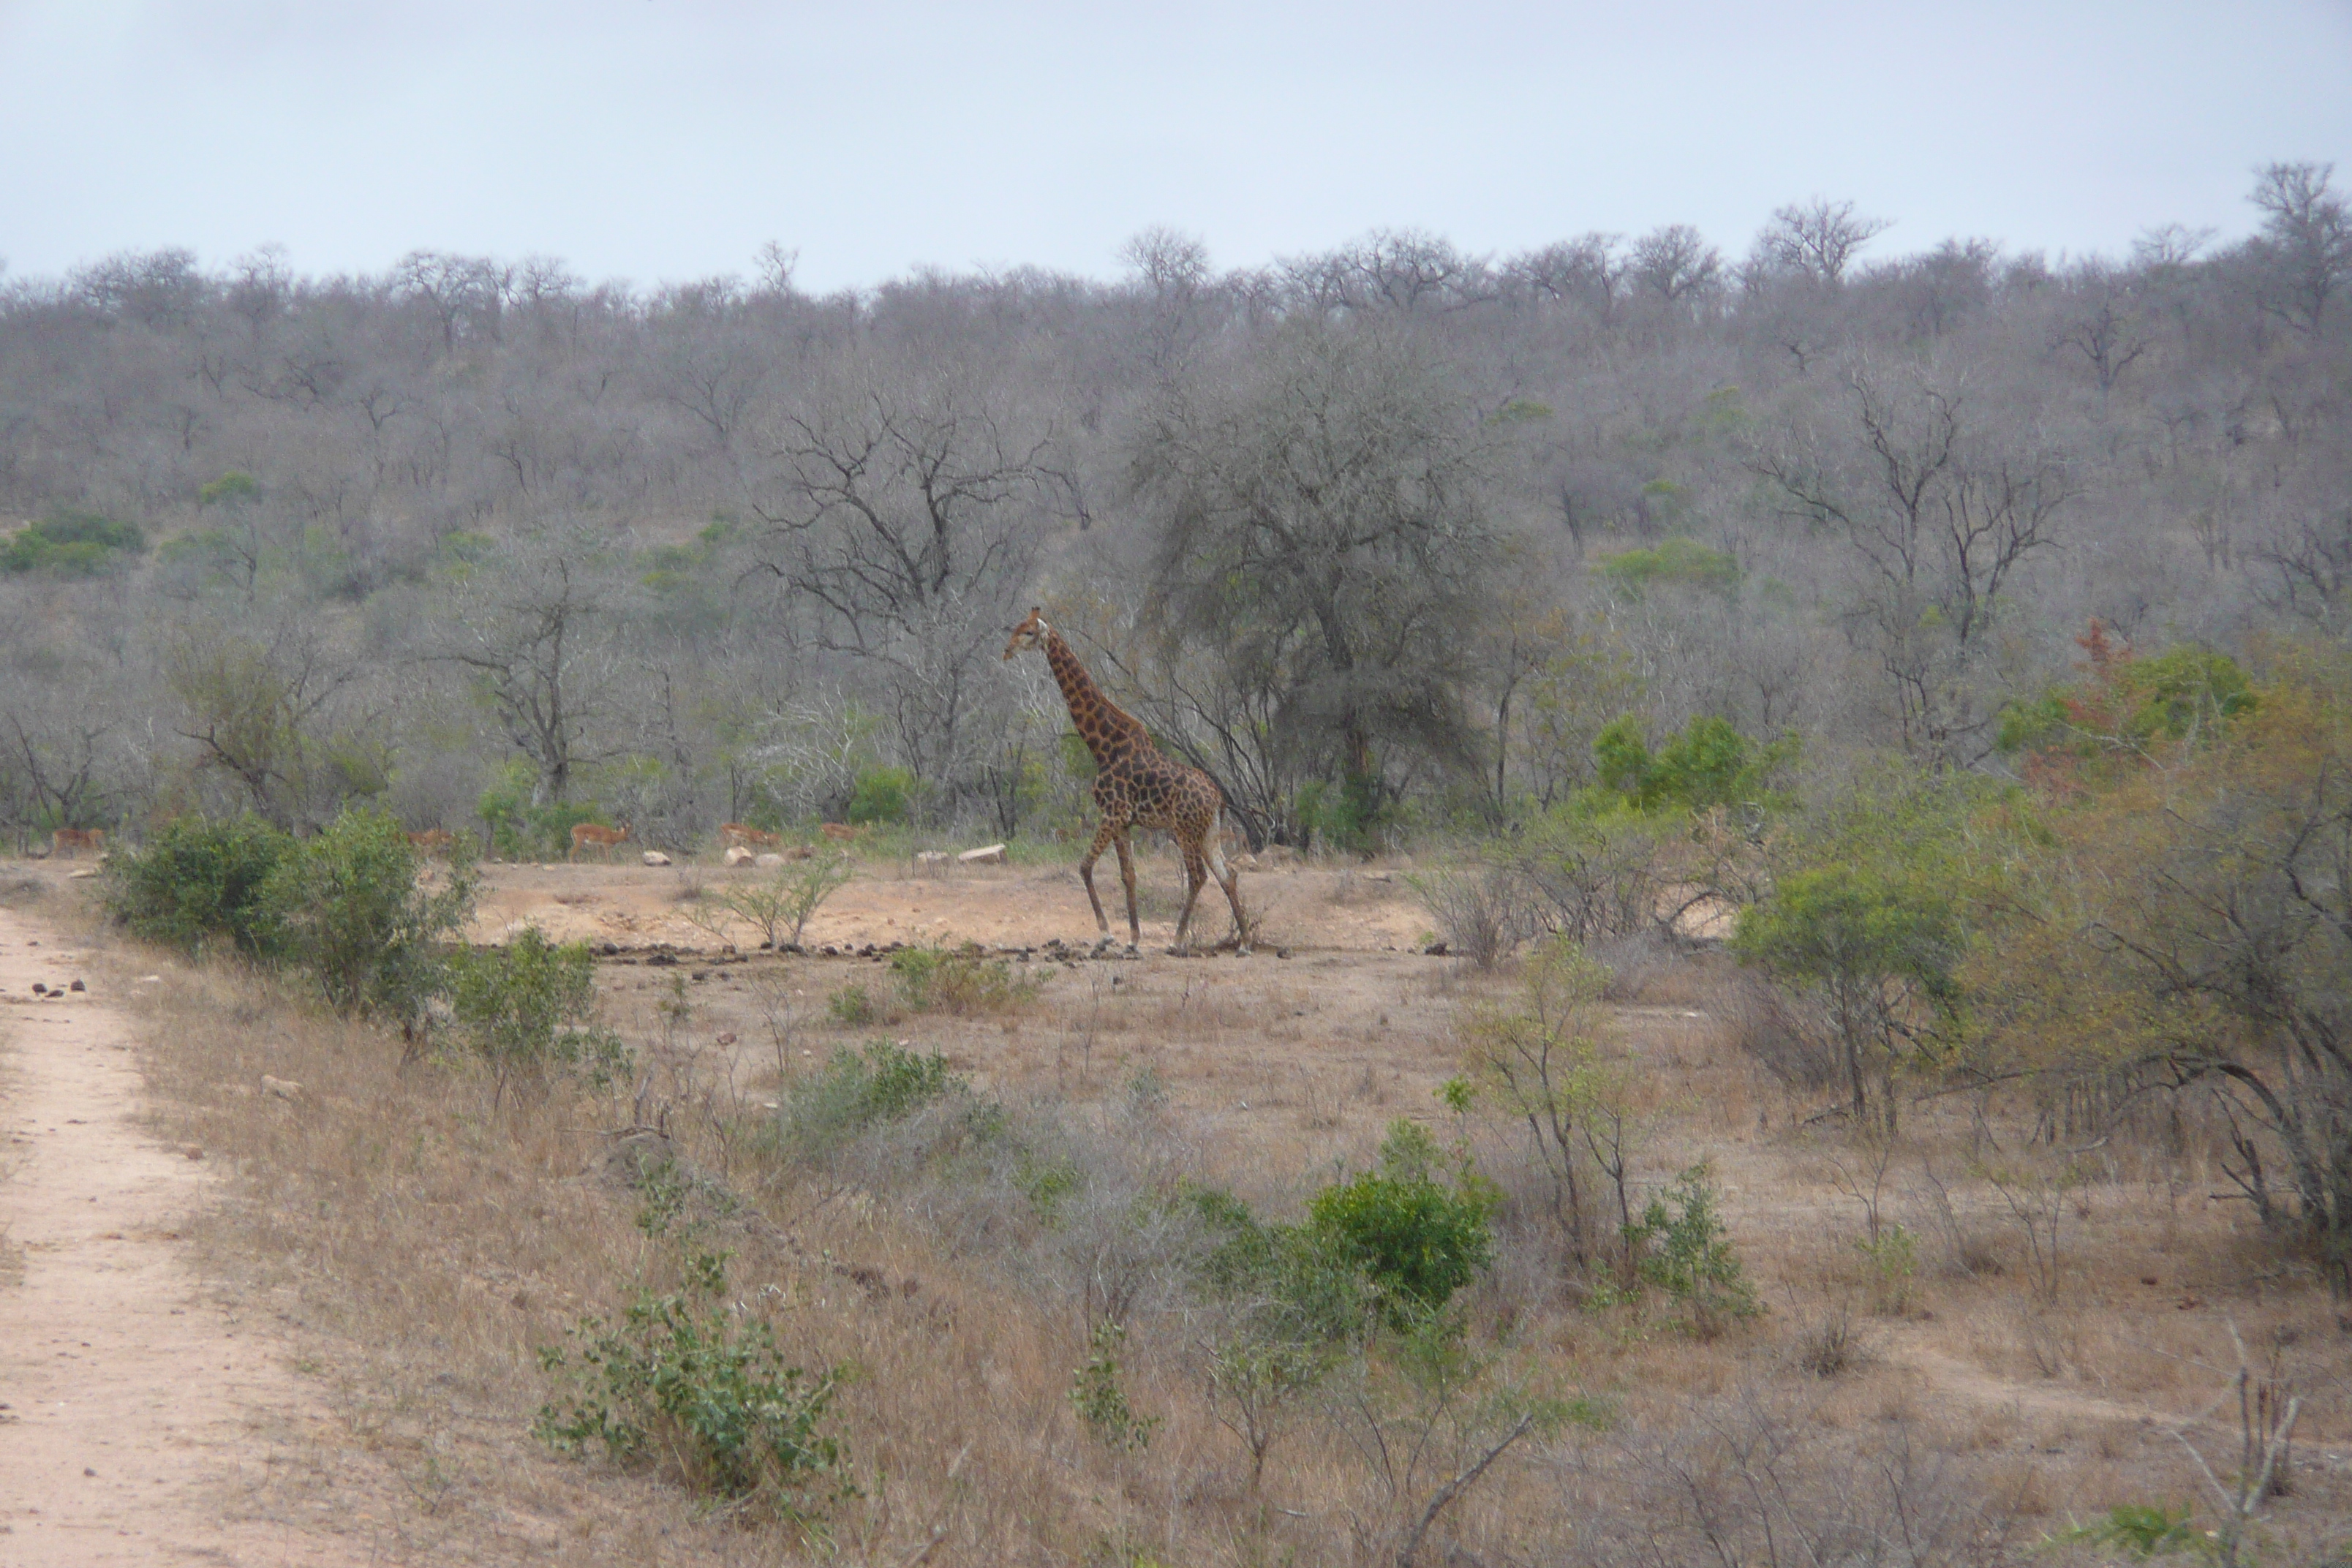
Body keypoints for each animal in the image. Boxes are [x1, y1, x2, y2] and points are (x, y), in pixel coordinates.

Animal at [1006, 606, 1251, 959]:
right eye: (1014, 628)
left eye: (1027, 632)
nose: (1006, 651)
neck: (1103, 746)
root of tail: (1218, 798)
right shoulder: (1123, 821)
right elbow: (1129, 876)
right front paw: (1132, 941)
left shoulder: (1113, 813)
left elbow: (1084, 867)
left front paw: (1106, 936)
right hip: (1209, 832)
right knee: (1227, 874)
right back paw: (1244, 943)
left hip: (1184, 829)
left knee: (1198, 876)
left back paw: (1177, 941)